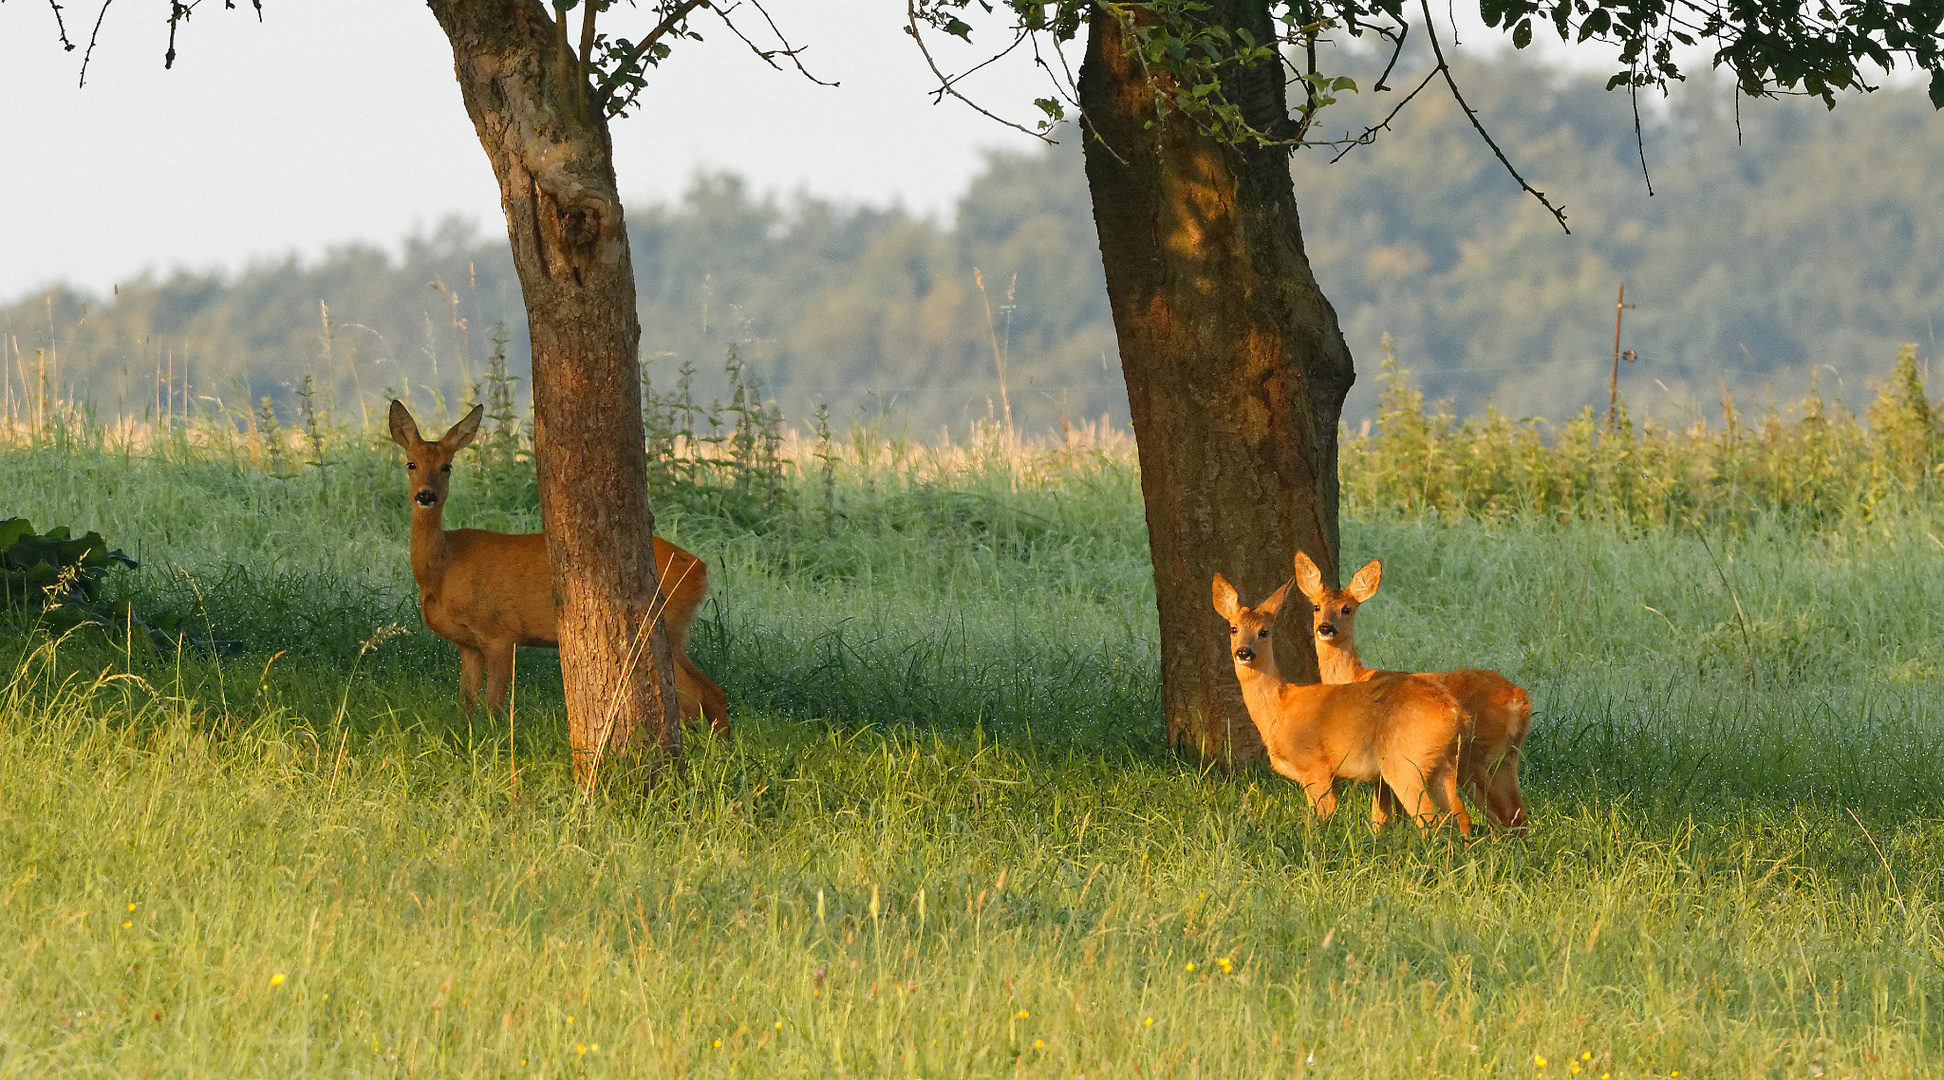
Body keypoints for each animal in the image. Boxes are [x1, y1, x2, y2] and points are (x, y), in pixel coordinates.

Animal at [386, 402, 730, 734]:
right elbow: (465, 704)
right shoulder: (467, 644)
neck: (442, 568)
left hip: (659, 625)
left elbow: (493, 705)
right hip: (676, 633)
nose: (425, 495)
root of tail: (701, 570)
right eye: (411, 464)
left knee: (695, 698)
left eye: (446, 466)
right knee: (715, 692)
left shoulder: (500, 631)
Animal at [1205, 574, 1461, 835]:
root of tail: (1452, 712)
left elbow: (1320, 821)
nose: (1243, 652)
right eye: (1234, 628)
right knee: (1461, 818)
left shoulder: (1316, 767)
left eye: (1263, 632)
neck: (1279, 708)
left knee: (1430, 820)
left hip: (1404, 763)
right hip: (1443, 763)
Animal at [1290, 551, 1531, 831]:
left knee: (1500, 813)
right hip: (1506, 759)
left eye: (1346, 609)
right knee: (1516, 813)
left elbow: (1380, 814)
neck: (1354, 676)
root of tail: (1519, 700)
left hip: (1476, 757)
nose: (1325, 628)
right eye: (1316, 606)